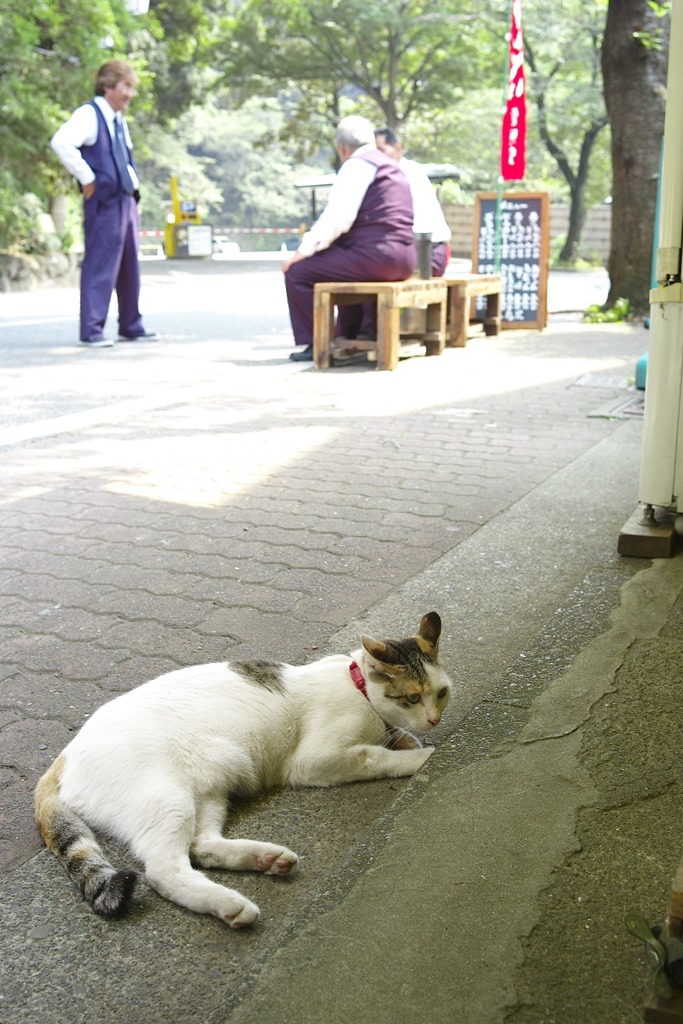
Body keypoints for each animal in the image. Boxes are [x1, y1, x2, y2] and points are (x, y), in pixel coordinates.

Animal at [36, 610, 454, 933]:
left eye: (442, 693)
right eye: (412, 696)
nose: (434, 719)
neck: (359, 689)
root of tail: (61, 759)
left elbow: (395, 739)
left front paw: (410, 742)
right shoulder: (314, 760)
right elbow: (376, 757)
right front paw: (423, 756)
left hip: (209, 790)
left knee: (201, 846)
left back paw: (266, 859)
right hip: (168, 799)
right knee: (163, 869)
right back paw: (230, 904)